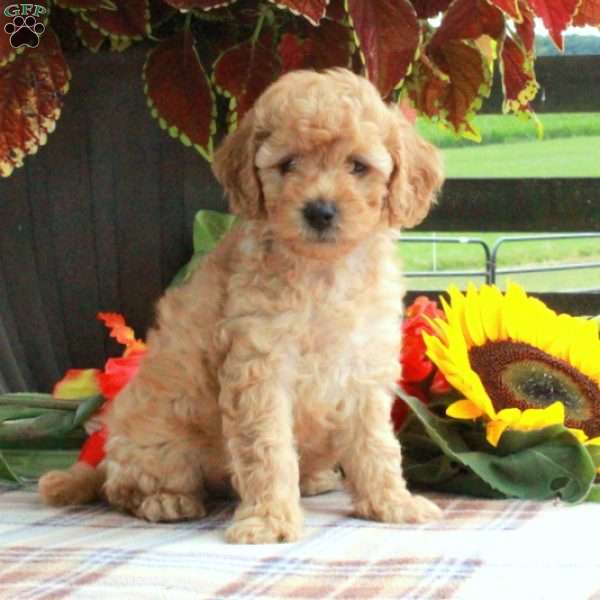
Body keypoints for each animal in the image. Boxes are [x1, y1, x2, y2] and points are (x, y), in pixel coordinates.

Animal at [38, 69, 440, 544]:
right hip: (155, 442)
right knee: (124, 487)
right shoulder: (260, 365)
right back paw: (166, 501)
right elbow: (267, 448)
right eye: (287, 164)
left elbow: (377, 443)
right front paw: (269, 520)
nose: (320, 211)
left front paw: (392, 503)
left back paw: (315, 480)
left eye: (359, 166)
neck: (323, 269)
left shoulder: (365, 364)